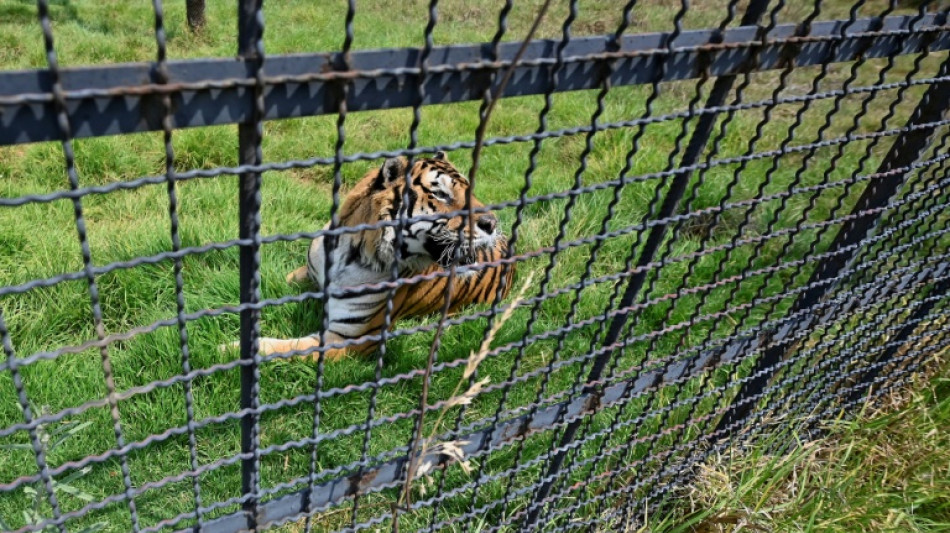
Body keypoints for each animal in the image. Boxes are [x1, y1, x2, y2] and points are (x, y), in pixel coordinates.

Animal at [245, 154, 516, 362]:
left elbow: (283, 348)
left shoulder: (347, 339)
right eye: (440, 194)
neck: (348, 254)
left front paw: (234, 348)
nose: (491, 223)